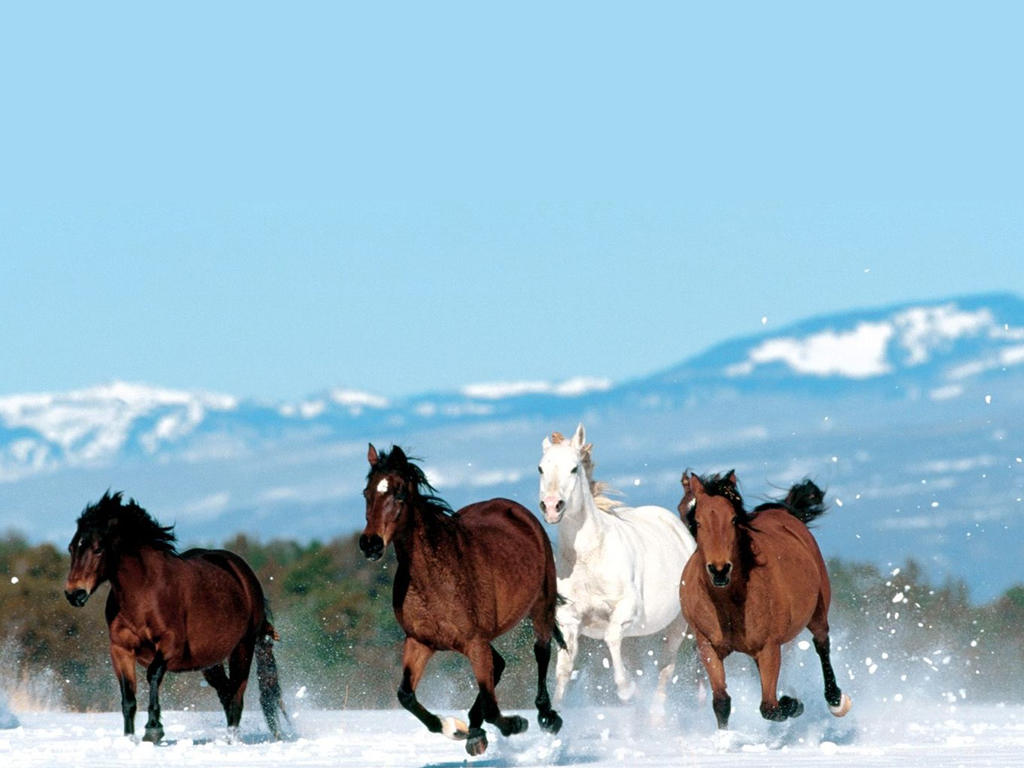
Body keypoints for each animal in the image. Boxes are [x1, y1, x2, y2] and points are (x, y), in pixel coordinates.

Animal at [62, 495, 288, 741]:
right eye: (71, 548)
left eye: (98, 549)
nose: (74, 594)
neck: (143, 592)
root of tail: (245, 576)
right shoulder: (121, 649)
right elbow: (128, 697)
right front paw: (130, 738)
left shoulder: (171, 645)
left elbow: (153, 674)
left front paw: (153, 729)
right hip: (210, 662)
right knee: (227, 694)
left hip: (242, 648)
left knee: (236, 696)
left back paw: (232, 740)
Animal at [358, 444, 569, 757]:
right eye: (367, 493)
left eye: (400, 494)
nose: (370, 544)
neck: (434, 580)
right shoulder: (420, 642)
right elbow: (406, 696)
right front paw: (456, 729)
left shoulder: (474, 641)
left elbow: (493, 708)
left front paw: (516, 723)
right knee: (500, 664)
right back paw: (474, 731)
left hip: (541, 606)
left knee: (541, 652)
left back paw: (547, 717)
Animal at [536, 421, 696, 716]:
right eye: (541, 468)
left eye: (574, 468)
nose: (552, 507)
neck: (590, 559)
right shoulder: (568, 620)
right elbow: (564, 670)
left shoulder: (625, 610)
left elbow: (611, 639)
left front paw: (626, 690)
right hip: (635, 637)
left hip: (677, 626)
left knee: (665, 670)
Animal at [679, 473, 847, 729]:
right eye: (697, 521)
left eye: (733, 519)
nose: (719, 570)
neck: (729, 603)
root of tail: (783, 511)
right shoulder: (708, 646)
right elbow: (721, 702)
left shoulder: (769, 648)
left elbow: (769, 707)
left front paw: (792, 703)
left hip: (817, 611)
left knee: (822, 644)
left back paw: (835, 700)